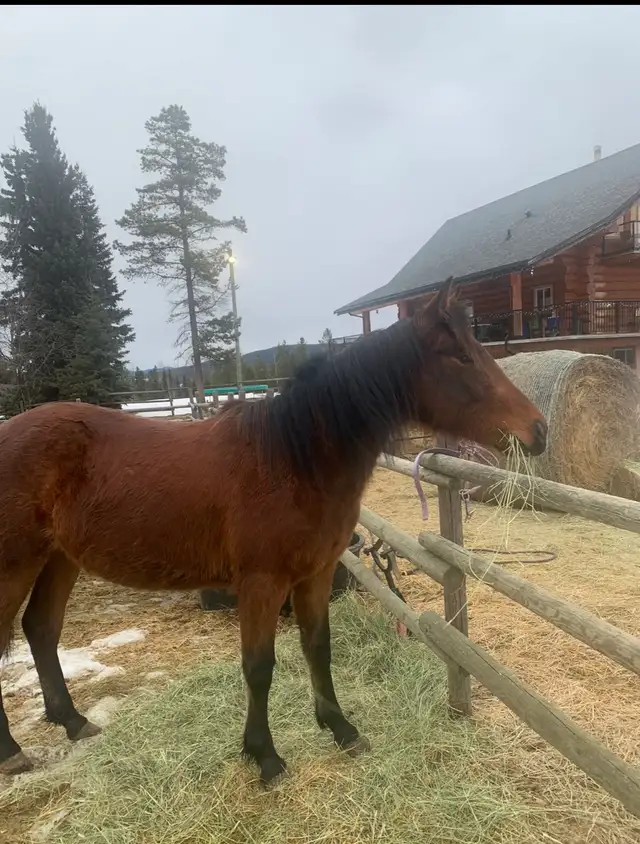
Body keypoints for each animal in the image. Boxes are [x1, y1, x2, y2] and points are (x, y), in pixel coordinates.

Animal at [0, 279, 547, 784]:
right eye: (461, 357)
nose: (538, 430)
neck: (292, 459)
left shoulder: (316, 574)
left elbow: (317, 647)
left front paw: (341, 729)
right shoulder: (262, 583)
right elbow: (259, 667)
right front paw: (264, 756)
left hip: (60, 559)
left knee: (41, 630)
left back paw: (72, 721)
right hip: (16, 565)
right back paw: (13, 752)